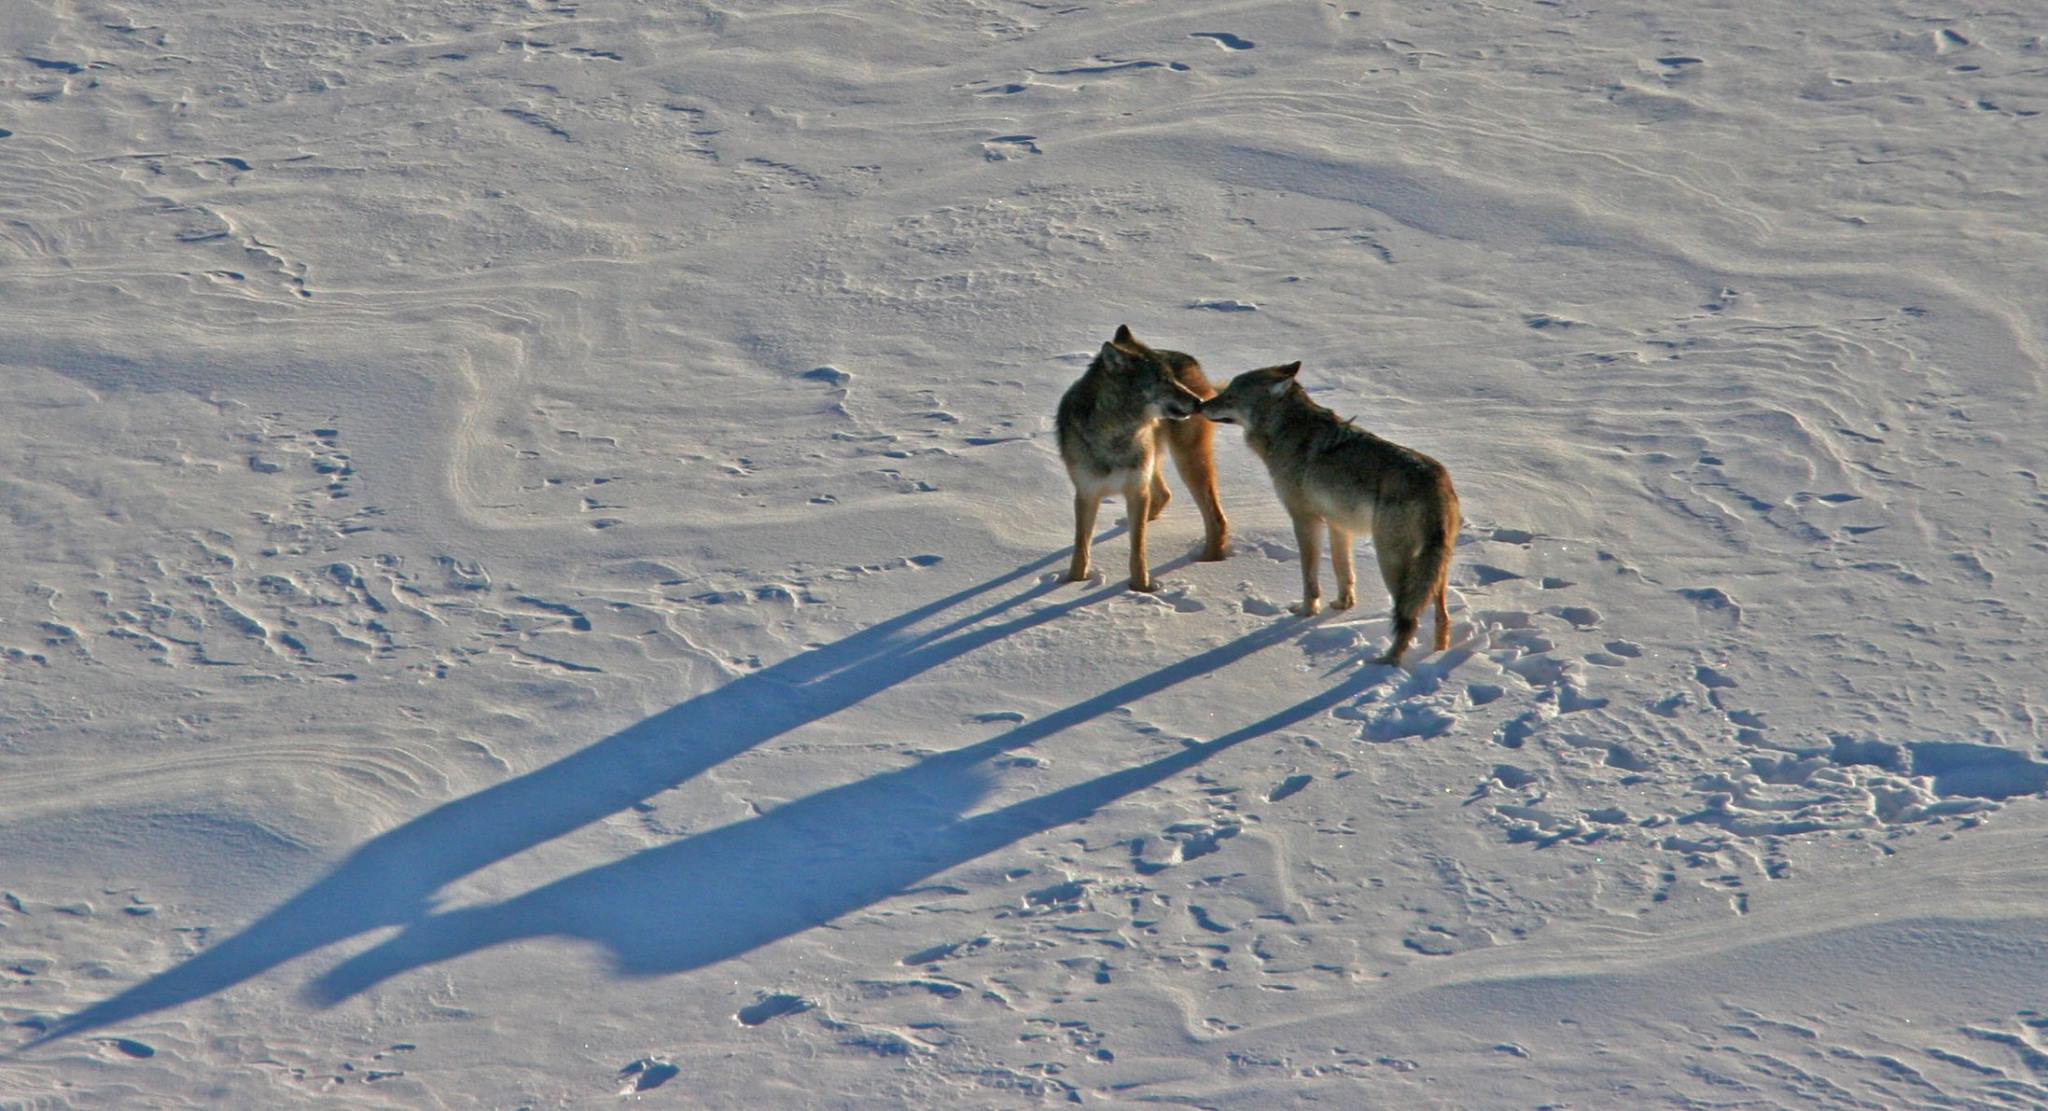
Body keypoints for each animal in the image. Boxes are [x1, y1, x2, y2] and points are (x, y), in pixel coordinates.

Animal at [1055, 326, 1230, 592]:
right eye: (1162, 380)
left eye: (1172, 378)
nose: (1199, 402)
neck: (1115, 435)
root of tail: (1191, 360)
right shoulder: (1087, 493)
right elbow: (1081, 548)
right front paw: (1072, 583)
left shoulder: (1136, 490)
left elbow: (1138, 551)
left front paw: (1140, 588)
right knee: (1165, 494)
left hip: (1186, 462)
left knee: (1216, 519)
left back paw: (1206, 561)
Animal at [1200, 361, 1460, 664]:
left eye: (1229, 396)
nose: (1200, 405)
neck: (1286, 431)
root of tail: (1436, 482)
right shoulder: (1338, 526)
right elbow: (1342, 570)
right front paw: (1342, 605)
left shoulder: (1306, 521)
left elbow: (1309, 577)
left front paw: (1306, 612)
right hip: (1434, 571)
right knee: (1442, 617)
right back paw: (1437, 653)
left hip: (1390, 563)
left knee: (1409, 620)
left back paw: (1385, 662)